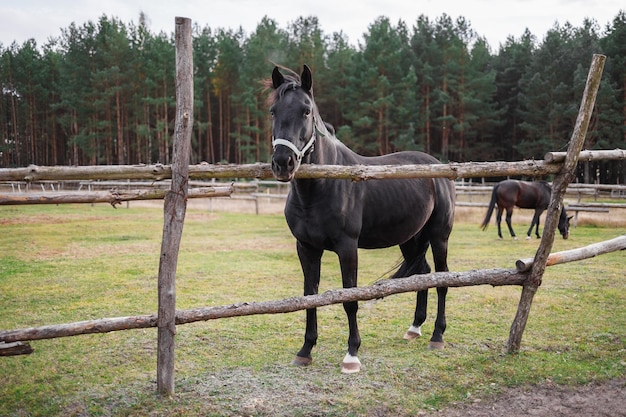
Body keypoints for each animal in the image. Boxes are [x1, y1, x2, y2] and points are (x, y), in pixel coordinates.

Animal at [266, 66, 454, 374]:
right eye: (273, 111)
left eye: (306, 111)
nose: (283, 163)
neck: (321, 187)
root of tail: (437, 165)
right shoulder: (306, 248)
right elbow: (309, 296)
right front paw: (305, 350)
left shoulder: (347, 247)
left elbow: (349, 299)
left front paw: (352, 354)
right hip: (410, 239)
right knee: (422, 273)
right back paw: (414, 328)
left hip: (439, 237)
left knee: (441, 278)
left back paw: (437, 335)